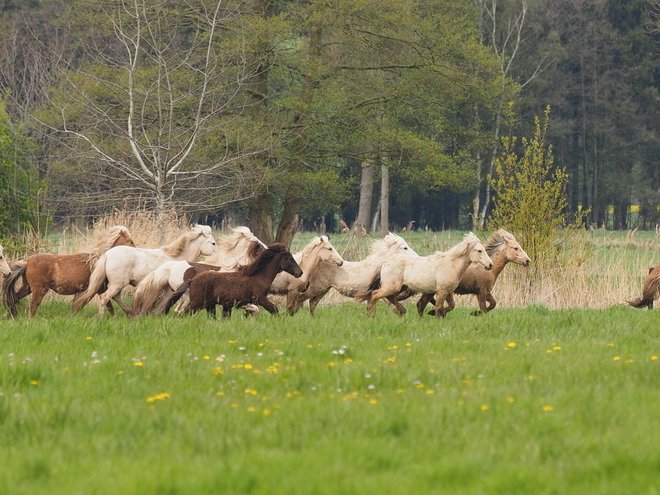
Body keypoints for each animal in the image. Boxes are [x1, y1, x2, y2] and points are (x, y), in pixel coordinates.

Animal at [1, 226, 137, 318]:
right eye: (131, 241)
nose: (137, 251)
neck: (97, 260)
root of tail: (28, 261)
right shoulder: (99, 289)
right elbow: (109, 303)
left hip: (27, 288)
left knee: (13, 299)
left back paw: (11, 317)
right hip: (39, 289)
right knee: (33, 305)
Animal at [72, 226, 217, 318]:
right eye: (213, 243)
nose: (217, 256)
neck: (176, 259)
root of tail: (107, 254)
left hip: (116, 284)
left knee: (115, 297)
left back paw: (129, 312)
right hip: (118, 284)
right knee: (105, 297)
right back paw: (102, 317)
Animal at [164, 245, 302, 322]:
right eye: (290, 258)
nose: (300, 272)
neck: (258, 276)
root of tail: (192, 280)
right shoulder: (260, 298)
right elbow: (274, 309)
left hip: (209, 305)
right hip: (197, 304)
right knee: (184, 314)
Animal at [288, 233, 418, 318]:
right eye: (405, 247)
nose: (417, 256)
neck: (379, 265)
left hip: (323, 290)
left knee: (312, 302)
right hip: (317, 288)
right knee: (302, 298)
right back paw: (292, 314)